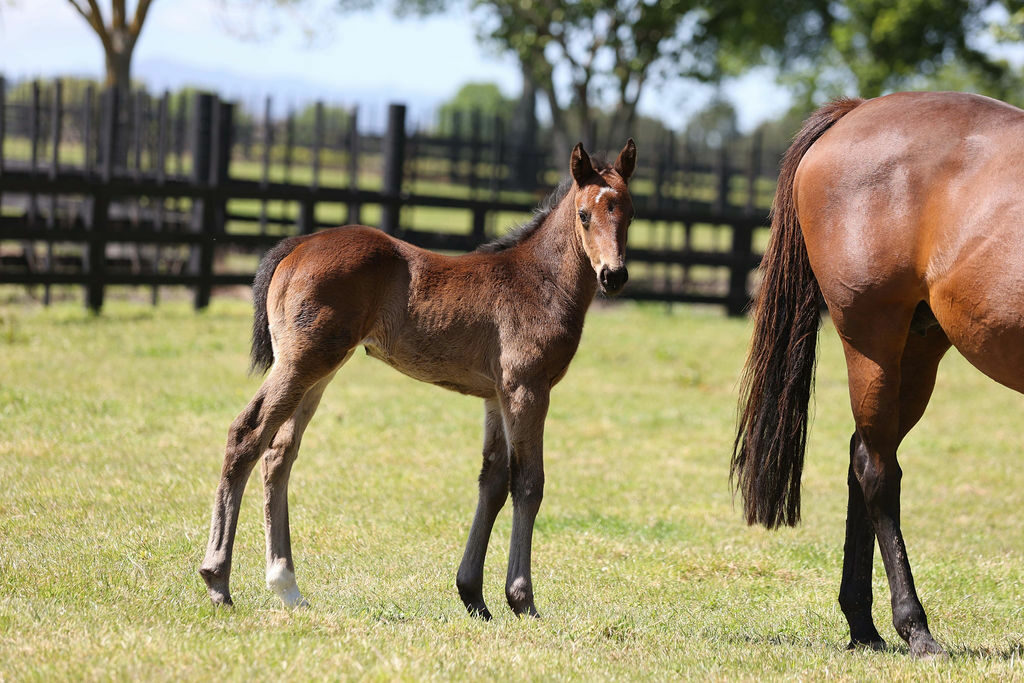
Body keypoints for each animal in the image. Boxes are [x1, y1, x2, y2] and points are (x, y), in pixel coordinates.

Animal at [196, 139, 634, 618]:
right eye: (584, 215)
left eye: (629, 214)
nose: (614, 275)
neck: (539, 280)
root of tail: (299, 244)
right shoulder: (527, 389)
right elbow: (528, 484)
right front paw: (523, 601)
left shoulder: (496, 396)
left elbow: (492, 482)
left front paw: (473, 595)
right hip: (302, 361)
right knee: (247, 434)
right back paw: (218, 580)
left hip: (319, 370)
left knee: (279, 452)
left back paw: (287, 587)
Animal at [737, 93, 1024, 659]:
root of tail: (858, 109)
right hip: (872, 345)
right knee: (877, 472)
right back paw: (915, 628)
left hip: (917, 352)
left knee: (863, 458)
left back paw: (862, 624)